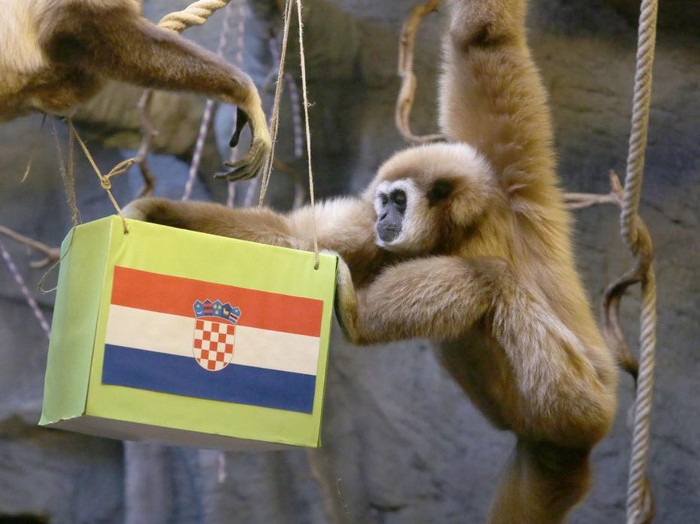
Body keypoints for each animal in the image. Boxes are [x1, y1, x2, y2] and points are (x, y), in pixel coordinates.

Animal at [123, 0, 619, 521]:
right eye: (384, 201)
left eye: (398, 200)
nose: (382, 214)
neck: (463, 231)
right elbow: (479, 37)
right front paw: (159, 212)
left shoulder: (512, 183)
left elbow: (485, 39)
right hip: (552, 446)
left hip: (579, 403)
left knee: (494, 280)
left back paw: (359, 318)